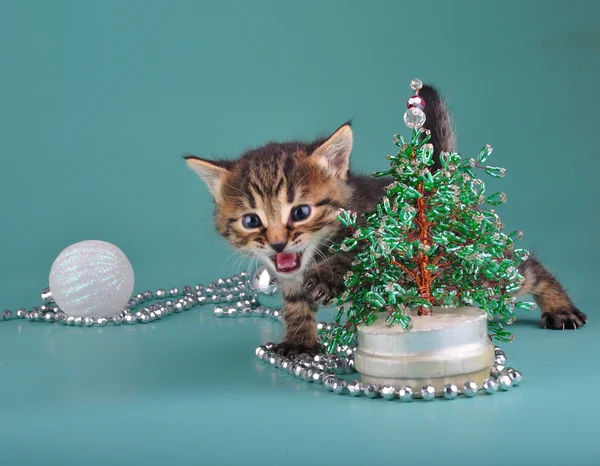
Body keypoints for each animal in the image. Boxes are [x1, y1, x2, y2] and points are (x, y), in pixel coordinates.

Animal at [184, 84, 584, 356]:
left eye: (300, 212)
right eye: (252, 221)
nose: (279, 242)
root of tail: (434, 184)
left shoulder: (377, 230)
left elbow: (354, 255)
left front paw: (328, 278)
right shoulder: (290, 279)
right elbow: (296, 306)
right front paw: (299, 340)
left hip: (472, 270)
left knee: (524, 270)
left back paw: (560, 307)